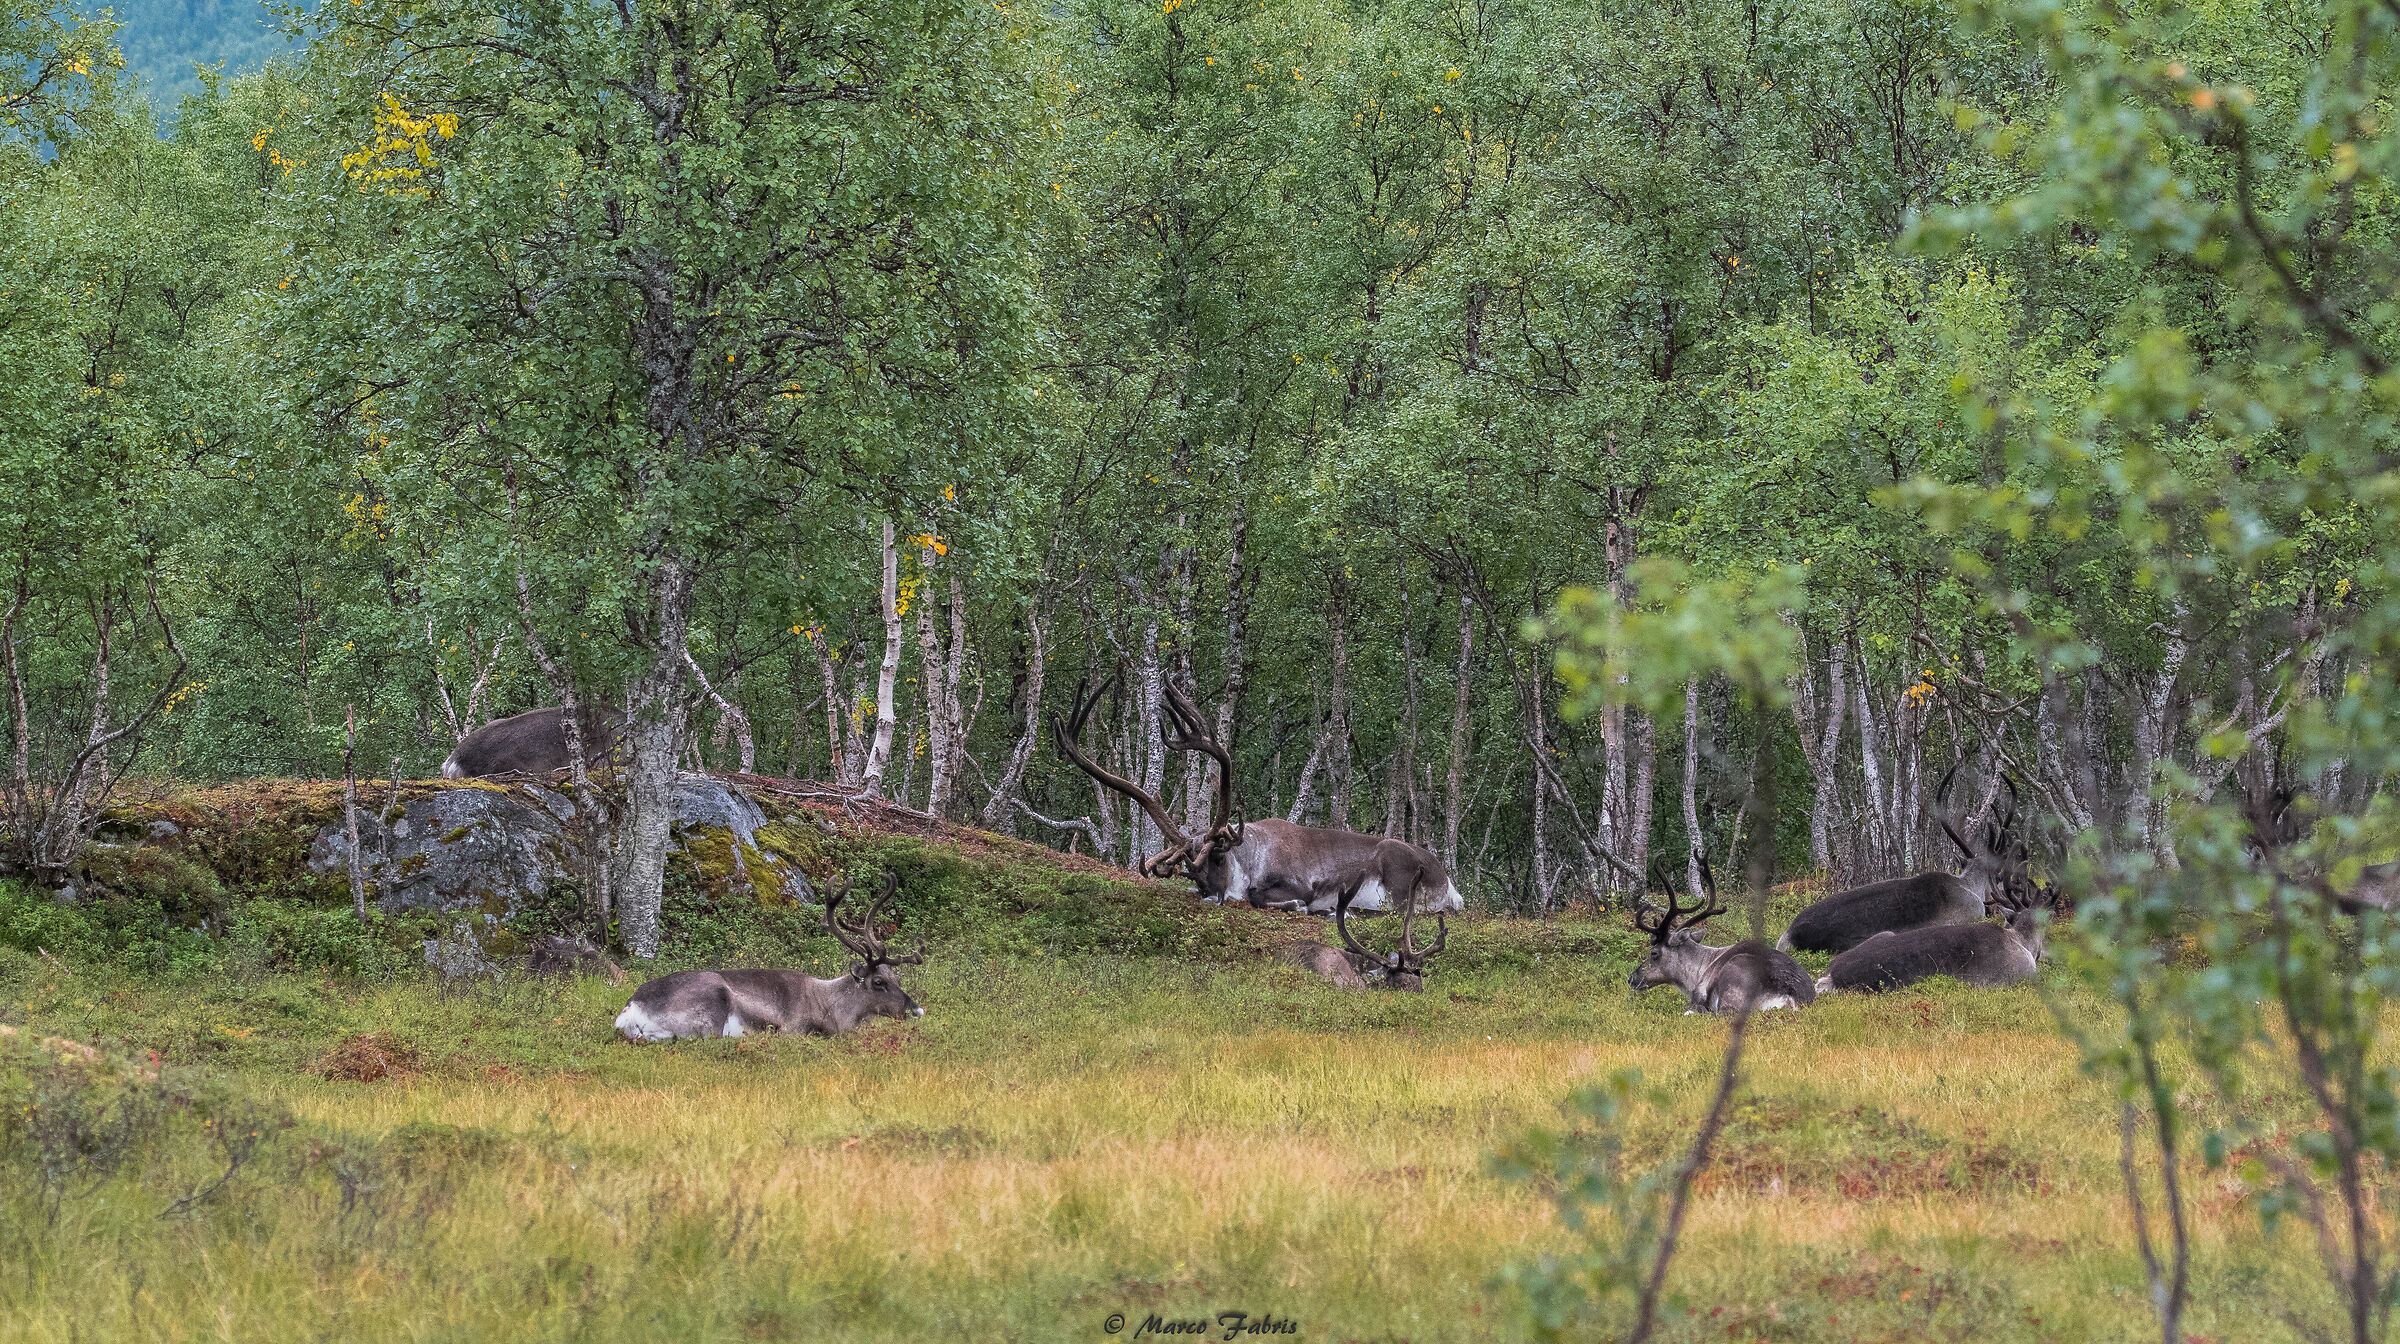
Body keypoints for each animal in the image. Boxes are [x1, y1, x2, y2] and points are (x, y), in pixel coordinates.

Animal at [612, 872, 926, 1041]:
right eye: (878, 982)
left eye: (896, 977)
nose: (916, 1009)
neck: (832, 1008)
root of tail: (630, 1010)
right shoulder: (794, 1028)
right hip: (711, 1003)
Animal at [1052, 678, 1463, 916]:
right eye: (1191, 871)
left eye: (1217, 857)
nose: (1210, 896)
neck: (1249, 854)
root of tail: (1449, 883)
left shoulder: (1301, 883)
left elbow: (1261, 895)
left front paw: (1306, 907)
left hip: (1398, 877)